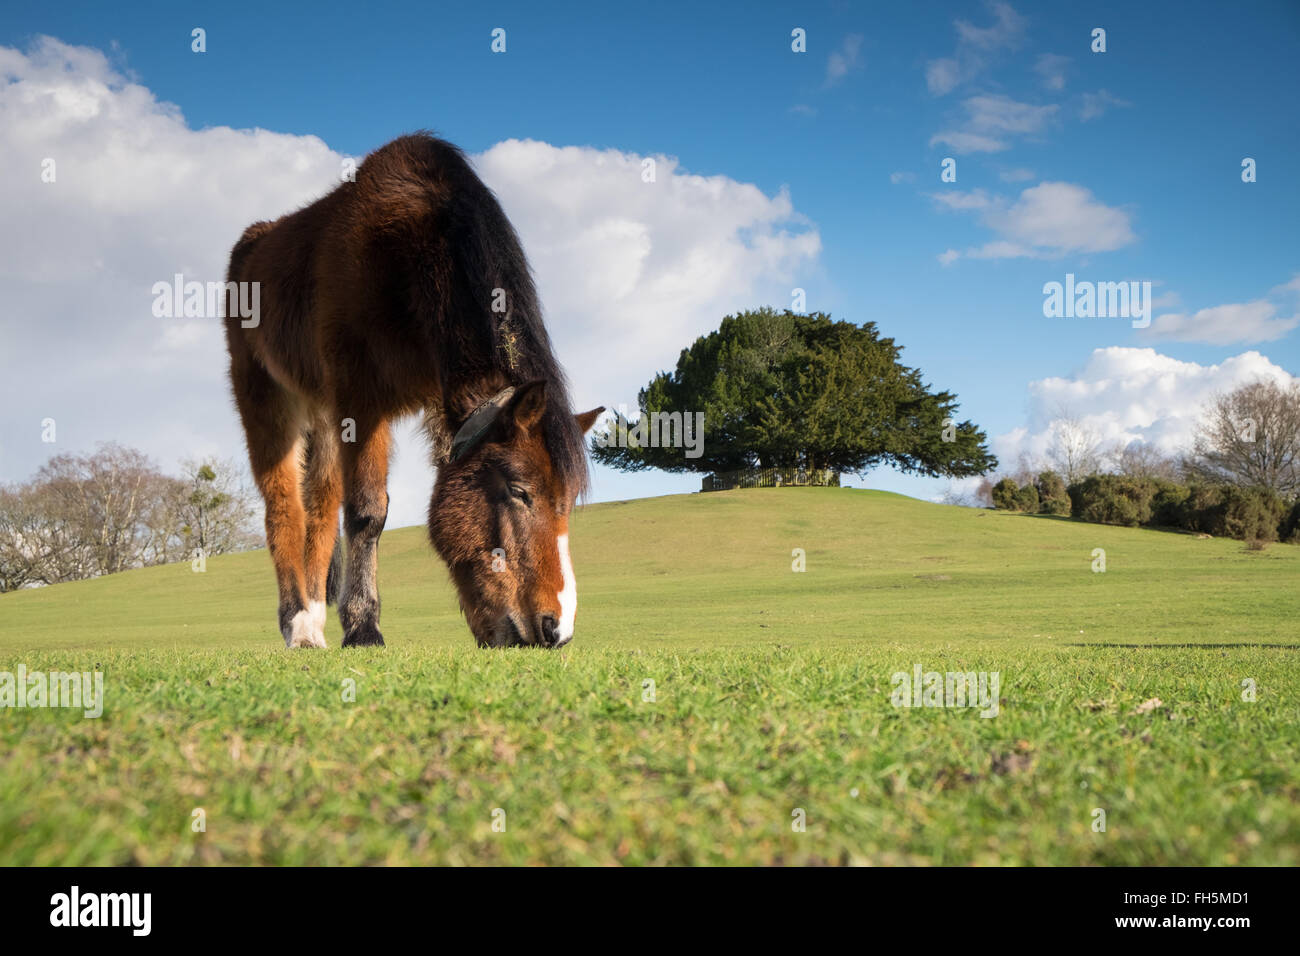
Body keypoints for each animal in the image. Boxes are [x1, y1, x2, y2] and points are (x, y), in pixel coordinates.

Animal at [223, 132, 603, 649]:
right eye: (519, 491)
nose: (557, 629)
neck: (406, 250)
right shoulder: (363, 399)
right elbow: (367, 512)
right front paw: (363, 626)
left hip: (322, 414)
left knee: (319, 513)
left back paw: (316, 618)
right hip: (267, 401)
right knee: (285, 508)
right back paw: (298, 623)